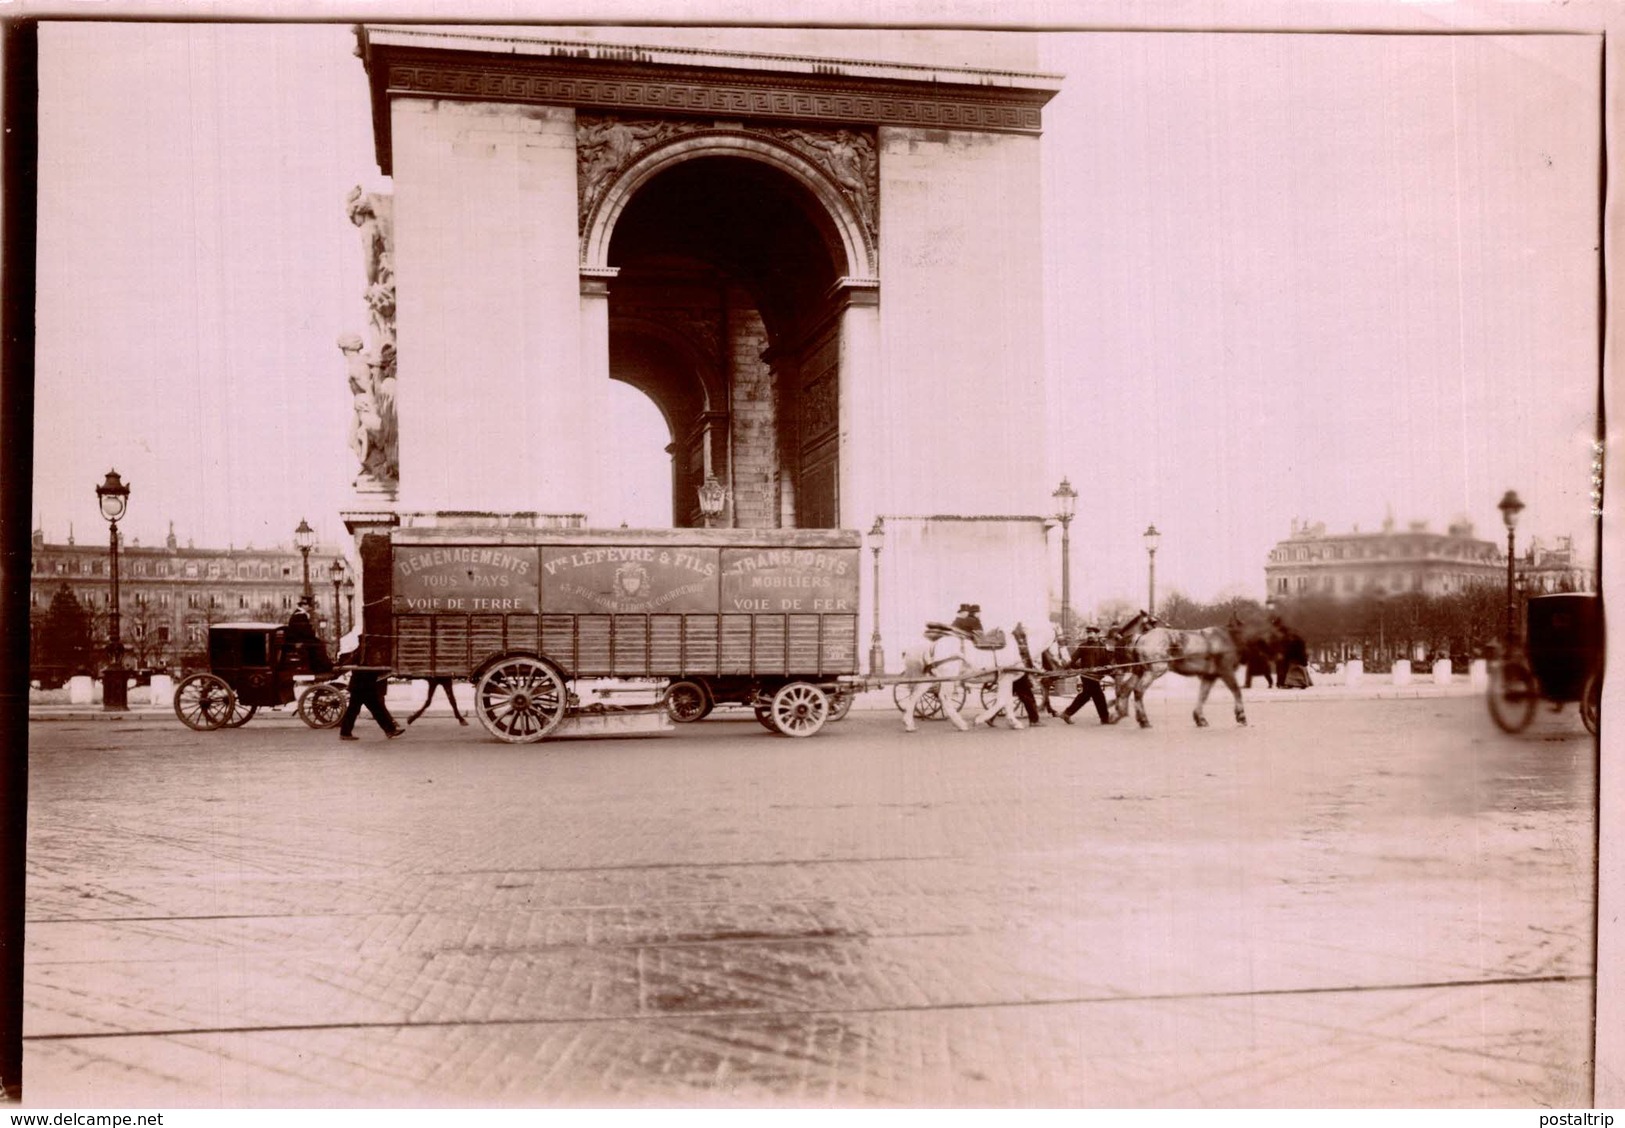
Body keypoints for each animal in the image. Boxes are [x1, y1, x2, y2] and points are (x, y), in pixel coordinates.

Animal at [890, 624, 1053, 737]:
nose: (1048, 670)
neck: (1021, 645)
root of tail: (933, 644)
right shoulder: (1006, 677)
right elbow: (1002, 700)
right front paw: (980, 719)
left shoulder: (1008, 680)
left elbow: (1007, 700)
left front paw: (1013, 722)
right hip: (949, 677)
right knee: (943, 697)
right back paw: (960, 723)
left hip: (931, 677)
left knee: (915, 695)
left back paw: (909, 723)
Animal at [1111, 614, 1248, 728]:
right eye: (1153, 620)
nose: (1168, 625)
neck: (1226, 637)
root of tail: (1141, 637)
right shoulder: (1226, 671)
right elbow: (1236, 691)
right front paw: (1241, 716)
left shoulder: (1209, 675)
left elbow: (1203, 695)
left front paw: (1200, 718)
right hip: (1154, 671)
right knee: (1138, 690)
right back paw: (1143, 720)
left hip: (1140, 671)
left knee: (1125, 688)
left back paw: (1120, 714)